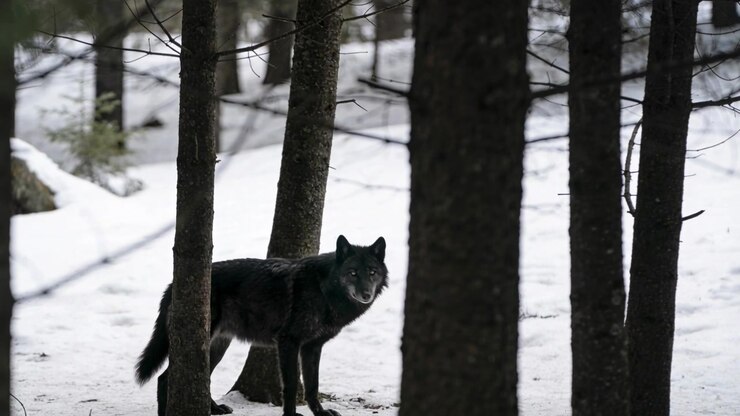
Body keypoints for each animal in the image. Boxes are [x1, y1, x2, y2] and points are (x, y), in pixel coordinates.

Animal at [135, 235, 388, 416]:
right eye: (352, 273)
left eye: (372, 272)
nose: (366, 294)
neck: (324, 289)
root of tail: (172, 284)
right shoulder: (288, 342)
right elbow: (291, 385)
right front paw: (291, 415)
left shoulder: (312, 347)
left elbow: (312, 385)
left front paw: (321, 413)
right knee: (164, 378)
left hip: (217, 346)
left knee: (202, 377)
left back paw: (216, 409)